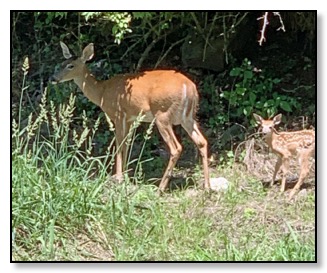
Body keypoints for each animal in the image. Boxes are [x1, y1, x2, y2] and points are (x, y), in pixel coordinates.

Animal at [51, 42, 210, 191]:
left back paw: (160, 188)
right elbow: (127, 144)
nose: (53, 78)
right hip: (187, 118)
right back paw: (207, 186)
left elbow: (119, 144)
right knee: (202, 141)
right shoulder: (130, 119)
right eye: (61, 63)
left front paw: (119, 178)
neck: (102, 92)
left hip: (162, 115)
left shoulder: (118, 114)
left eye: (70, 66)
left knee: (176, 148)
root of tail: (189, 87)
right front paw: (126, 174)